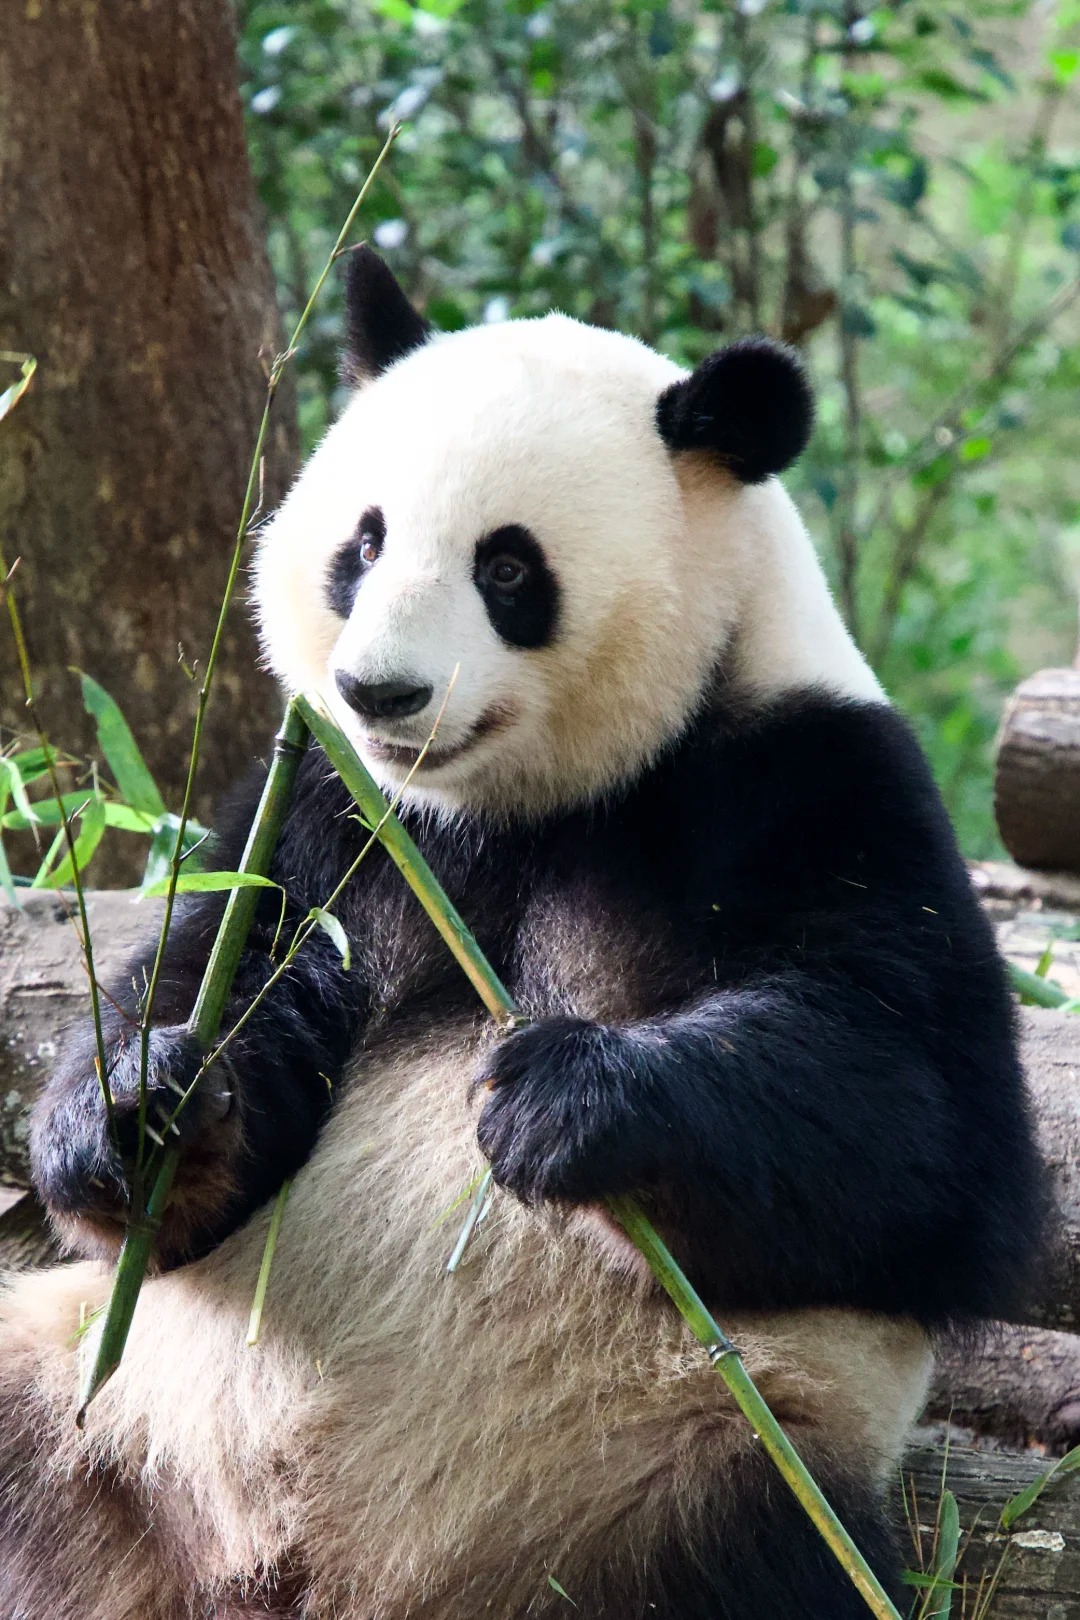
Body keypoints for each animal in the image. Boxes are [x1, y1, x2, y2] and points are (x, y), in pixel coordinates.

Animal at [0, 247, 1043, 1620]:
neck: (509, 809)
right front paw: (145, 1107)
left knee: (771, 1558)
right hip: (100, 1423)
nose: (380, 691)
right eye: (364, 542)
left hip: (678, 1491)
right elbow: (214, 977)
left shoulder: (808, 780)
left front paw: (564, 1098)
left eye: (508, 569)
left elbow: (935, 1136)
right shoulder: (331, 811)